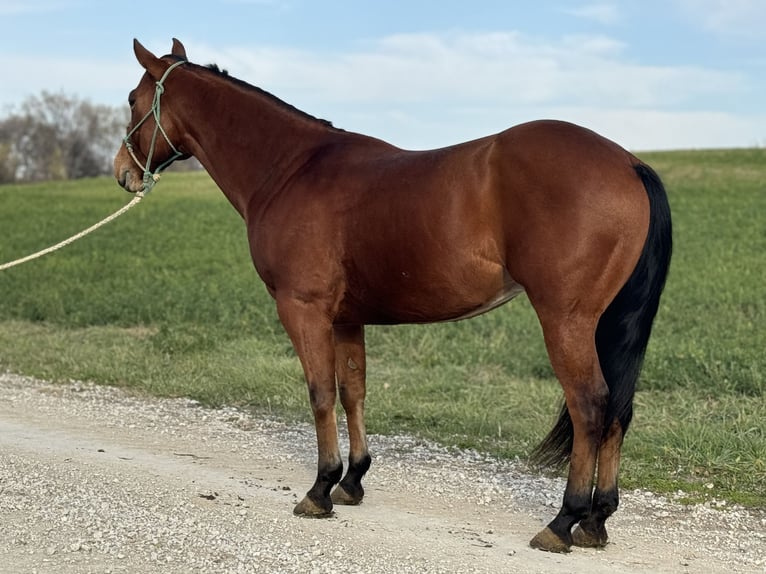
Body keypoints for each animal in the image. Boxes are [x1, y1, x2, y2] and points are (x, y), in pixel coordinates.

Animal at [112, 39, 672, 552]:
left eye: (133, 100)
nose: (123, 172)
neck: (292, 168)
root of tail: (629, 164)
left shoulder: (302, 309)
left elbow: (319, 393)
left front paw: (319, 488)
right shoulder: (345, 318)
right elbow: (352, 391)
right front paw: (352, 481)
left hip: (566, 320)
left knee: (591, 407)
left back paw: (563, 521)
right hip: (603, 323)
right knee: (618, 410)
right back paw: (596, 521)